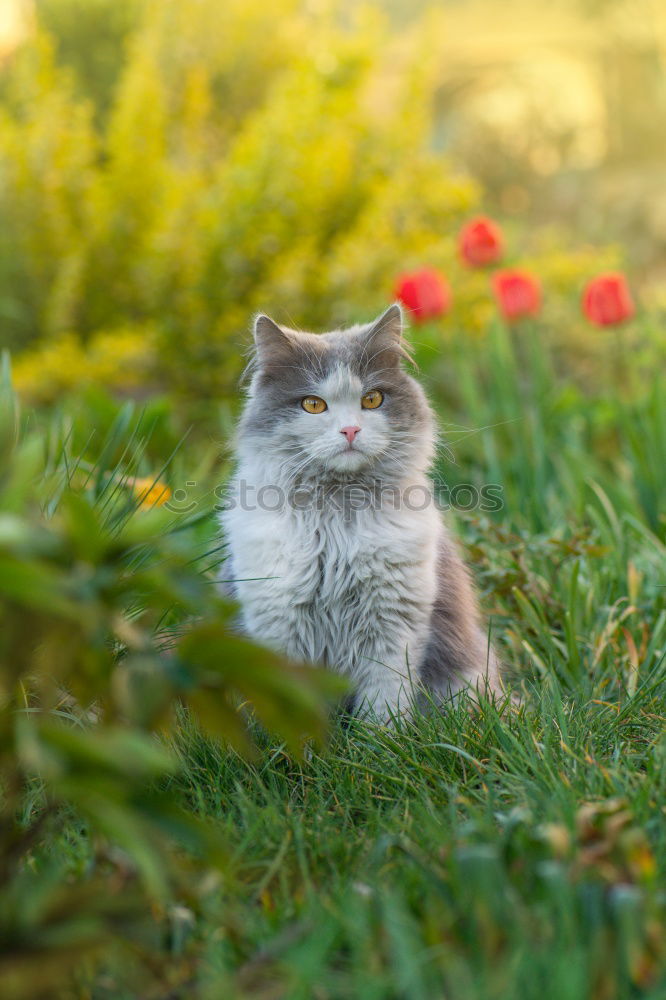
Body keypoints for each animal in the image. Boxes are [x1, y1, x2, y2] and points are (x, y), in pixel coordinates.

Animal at [219, 304, 498, 720]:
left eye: (372, 400)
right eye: (313, 404)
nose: (350, 431)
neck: (337, 517)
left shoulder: (392, 620)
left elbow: (384, 704)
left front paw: (382, 736)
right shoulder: (278, 619)